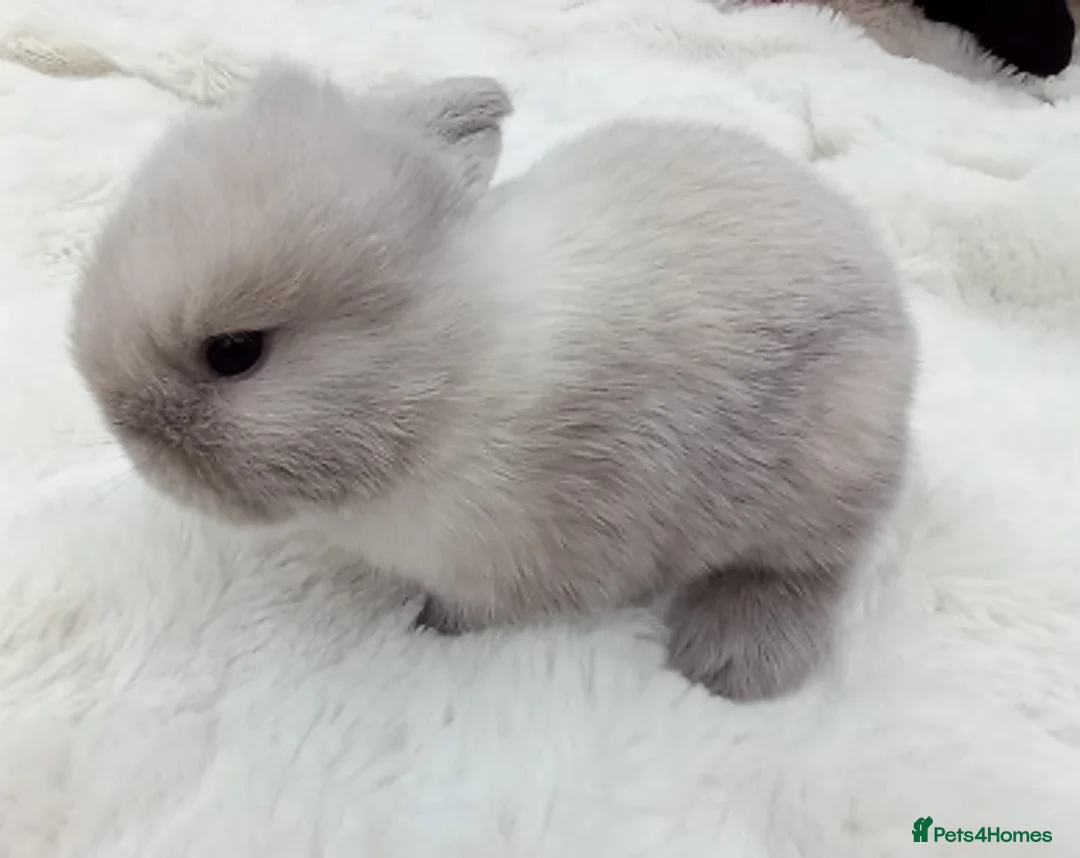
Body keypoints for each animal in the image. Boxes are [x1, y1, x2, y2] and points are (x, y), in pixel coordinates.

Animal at [71, 64, 917, 701]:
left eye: (235, 351)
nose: (121, 426)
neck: (446, 378)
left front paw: (425, 629)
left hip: (826, 463)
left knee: (811, 567)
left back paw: (728, 662)